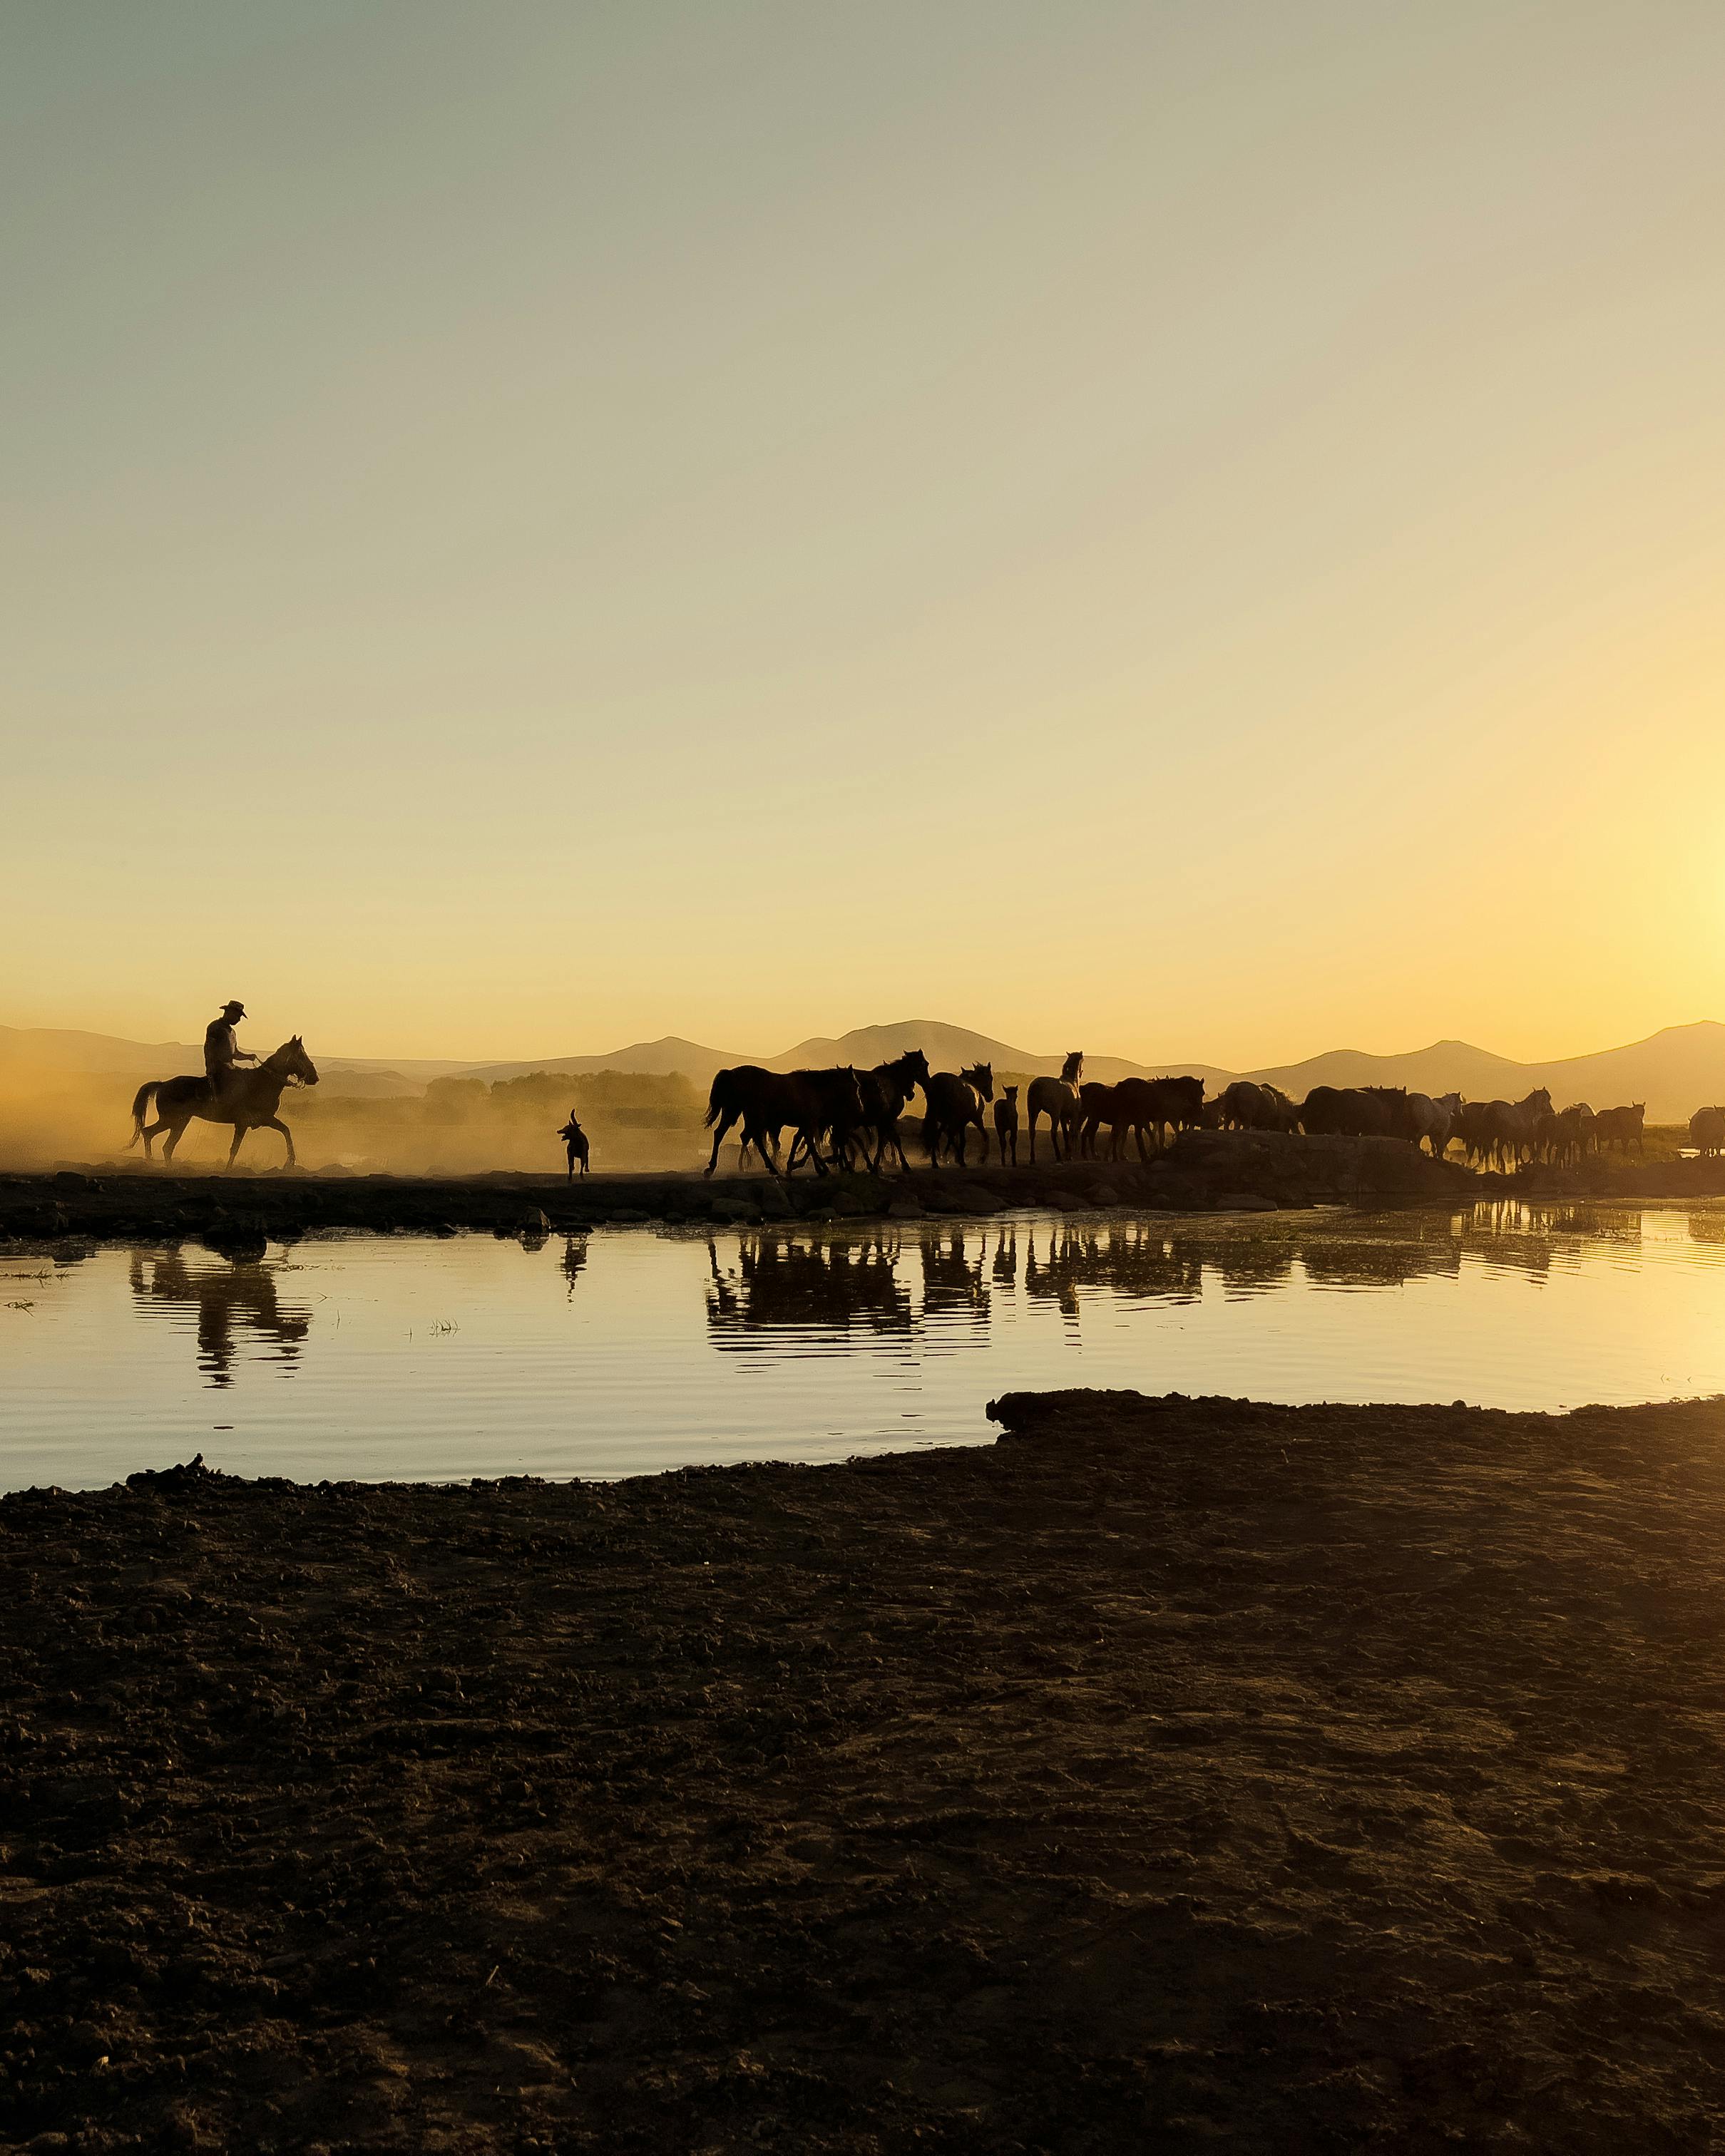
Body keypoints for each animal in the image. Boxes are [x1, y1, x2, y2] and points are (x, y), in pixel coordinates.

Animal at [128, 1038, 320, 1169]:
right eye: (301, 1055)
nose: (315, 1077)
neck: (262, 1082)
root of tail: (162, 1085)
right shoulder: (243, 1122)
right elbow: (234, 1148)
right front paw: (228, 1169)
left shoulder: (266, 1119)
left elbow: (286, 1130)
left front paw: (290, 1161)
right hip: (171, 1120)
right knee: (150, 1134)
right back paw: (150, 1162)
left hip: (180, 1121)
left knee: (166, 1145)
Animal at [704, 1066, 866, 1179]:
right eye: (856, 1085)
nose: (860, 1108)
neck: (813, 1088)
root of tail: (731, 1073)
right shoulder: (809, 1123)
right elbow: (810, 1145)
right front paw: (822, 1169)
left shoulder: (806, 1124)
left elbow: (805, 1143)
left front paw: (803, 1166)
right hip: (751, 1116)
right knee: (752, 1139)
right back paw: (771, 1168)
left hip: (735, 1112)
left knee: (722, 1134)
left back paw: (713, 1167)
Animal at [922, 1063, 993, 1167]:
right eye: (991, 1078)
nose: (990, 1097)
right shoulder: (973, 1120)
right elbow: (976, 1137)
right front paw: (981, 1158)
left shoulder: (949, 1122)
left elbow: (952, 1137)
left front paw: (953, 1158)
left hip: (935, 1117)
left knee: (936, 1135)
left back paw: (935, 1160)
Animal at [1025, 1051, 1083, 1163]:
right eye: (1082, 1060)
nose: (1081, 1073)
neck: (1071, 1082)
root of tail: (1037, 1085)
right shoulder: (1073, 1115)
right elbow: (1071, 1132)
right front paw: (1069, 1155)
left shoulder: (1063, 1117)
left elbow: (1065, 1134)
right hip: (1054, 1114)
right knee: (1053, 1132)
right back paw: (1058, 1156)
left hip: (1033, 1112)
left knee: (1032, 1131)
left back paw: (1032, 1158)